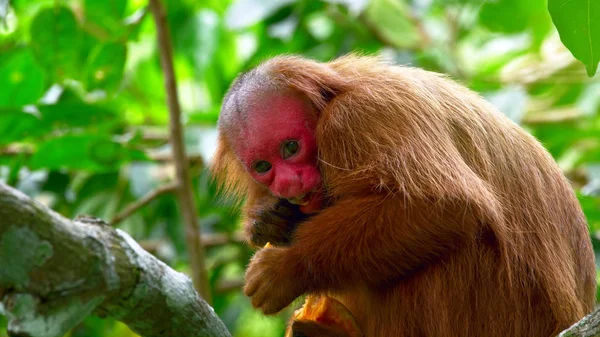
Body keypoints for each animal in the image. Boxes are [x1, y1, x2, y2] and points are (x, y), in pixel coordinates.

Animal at [211, 55, 596, 336]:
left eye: (290, 147)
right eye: (263, 166)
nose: (288, 184)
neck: (330, 103)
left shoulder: (360, 119)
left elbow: (446, 206)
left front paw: (287, 267)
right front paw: (269, 219)